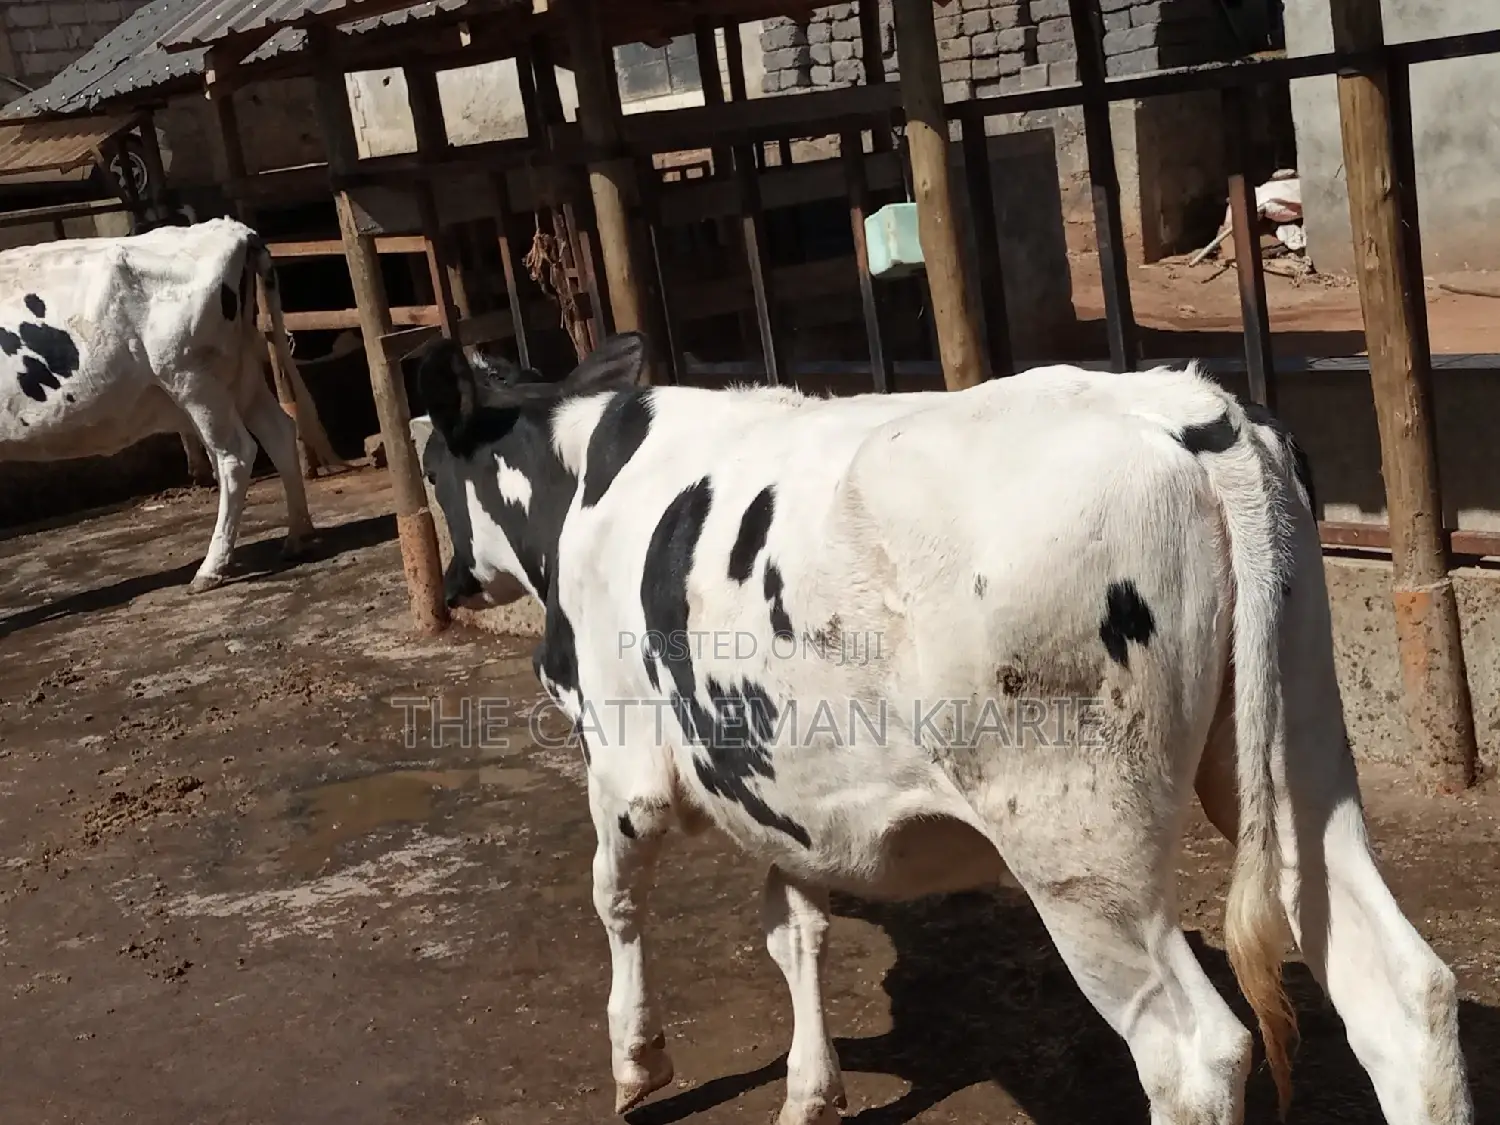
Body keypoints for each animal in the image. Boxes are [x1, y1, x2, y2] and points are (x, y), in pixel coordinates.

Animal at [0, 217, 314, 592]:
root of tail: (231, 229)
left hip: (193, 379)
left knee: (235, 455)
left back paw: (211, 567)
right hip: (240, 374)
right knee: (278, 431)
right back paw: (297, 537)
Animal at [411, 332, 1471, 1125]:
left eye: (428, 462)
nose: (458, 582)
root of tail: (1190, 414)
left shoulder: (624, 761)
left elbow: (615, 897)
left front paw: (637, 1062)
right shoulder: (794, 792)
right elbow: (793, 926)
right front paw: (811, 1090)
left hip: (1081, 844)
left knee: (1193, 1055)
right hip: (1300, 751)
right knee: (1403, 993)